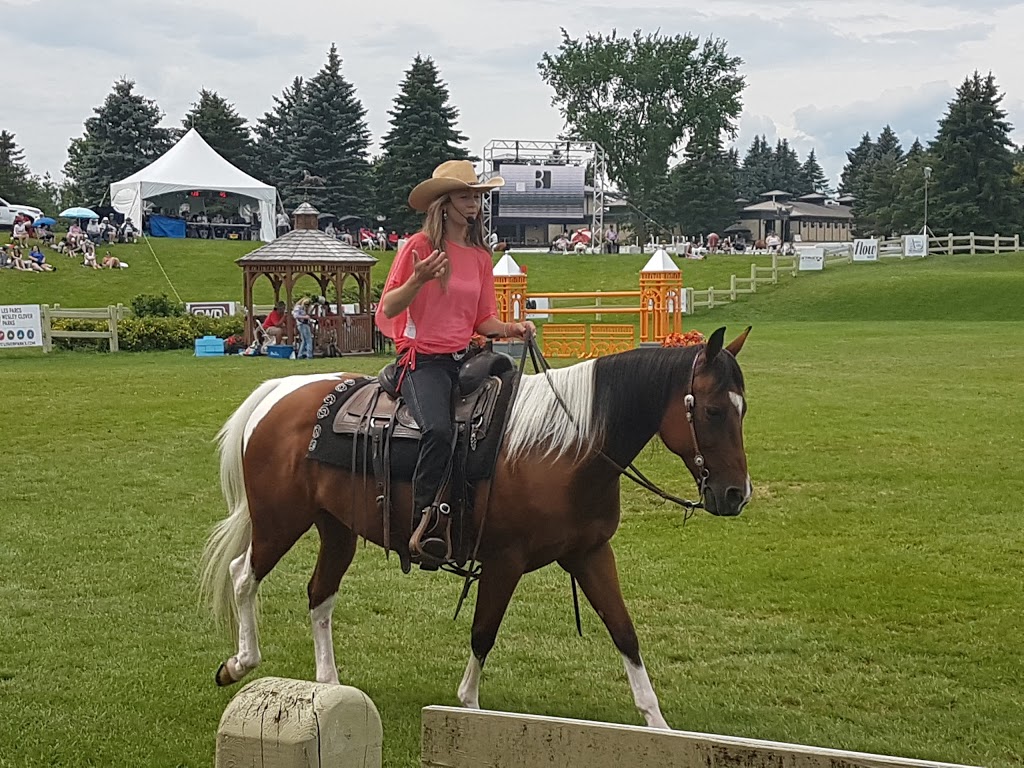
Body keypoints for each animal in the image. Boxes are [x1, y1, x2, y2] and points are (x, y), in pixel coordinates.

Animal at [199, 323, 749, 729]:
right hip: (279, 521)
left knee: (320, 594)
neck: (569, 447)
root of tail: (280, 391)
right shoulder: (505, 561)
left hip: (336, 528)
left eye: (743, 411)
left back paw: (329, 687)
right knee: (243, 575)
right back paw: (239, 663)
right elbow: (484, 632)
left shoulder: (590, 553)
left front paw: (658, 726)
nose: (735, 495)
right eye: (714, 410)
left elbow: (625, 632)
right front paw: (469, 706)